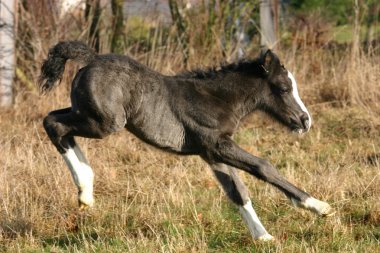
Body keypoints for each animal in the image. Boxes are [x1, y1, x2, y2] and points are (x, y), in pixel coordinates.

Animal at [40, 41, 334, 241]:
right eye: (284, 88)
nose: (305, 121)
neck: (215, 99)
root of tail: (91, 58)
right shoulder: (216, 144)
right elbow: (263, 166)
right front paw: (318, 206)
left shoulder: (212, 153)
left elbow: (238, 192)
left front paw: (263, 237)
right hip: (104, 123)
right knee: (53, 125)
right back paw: (84, 189)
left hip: (85, 113)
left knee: (56, 122)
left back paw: (87, 191)